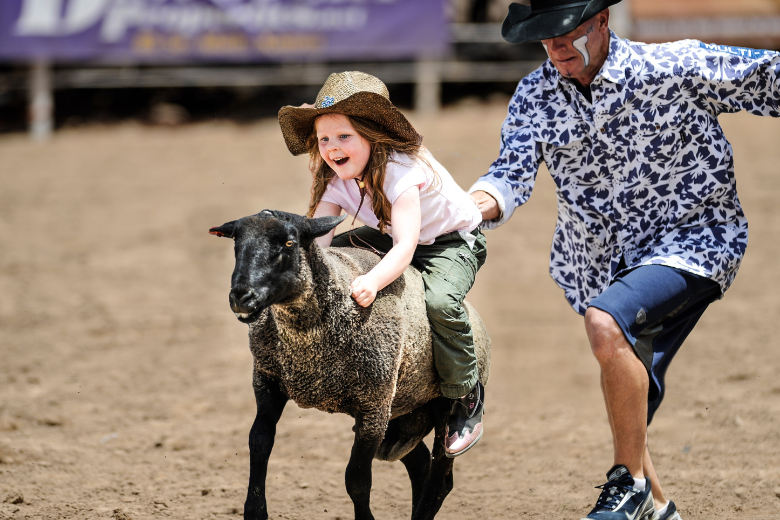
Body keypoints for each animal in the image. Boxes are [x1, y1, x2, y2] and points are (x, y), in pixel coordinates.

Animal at [209, 209, 491, 520]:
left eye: (289, 243)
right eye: (237, 243)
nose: (241, 297)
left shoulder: (373, 407)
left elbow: (356, 480)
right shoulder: (267, 380)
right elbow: (259, 443)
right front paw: (255, 511)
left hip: (438, 407)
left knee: (440, 477)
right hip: (401, 414)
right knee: (420, 467)